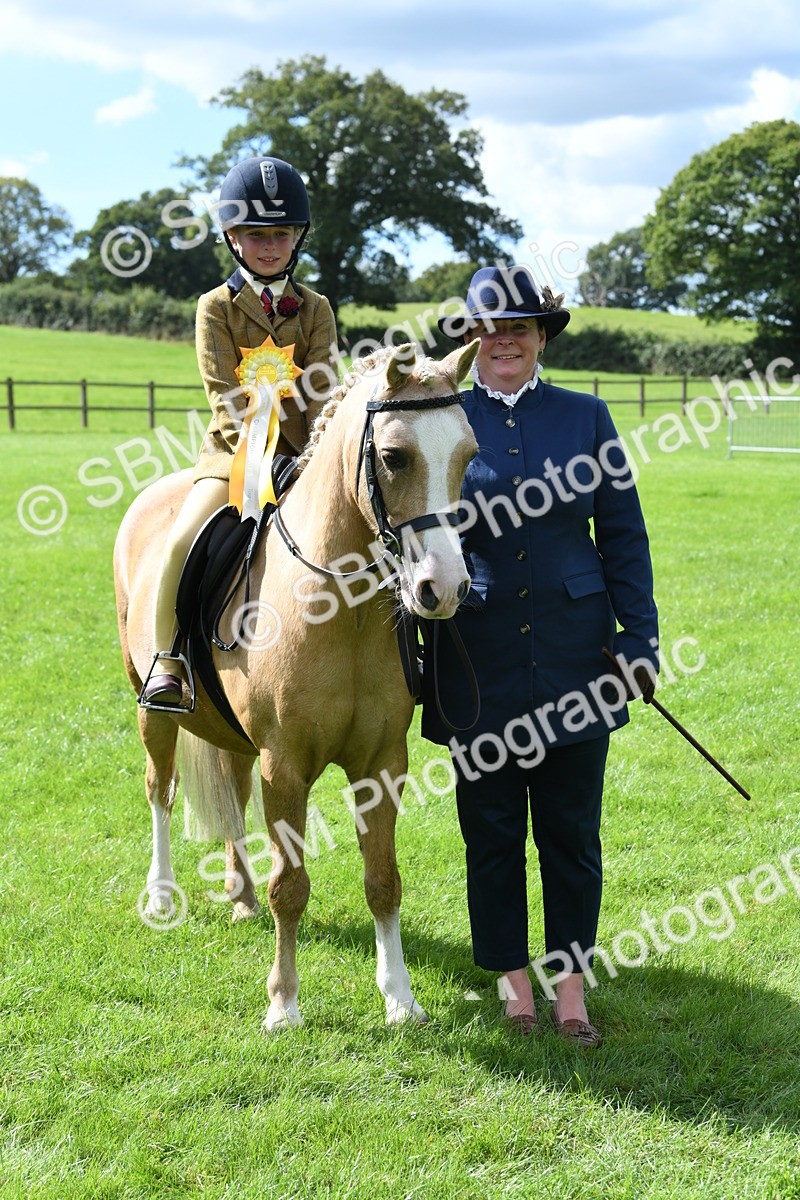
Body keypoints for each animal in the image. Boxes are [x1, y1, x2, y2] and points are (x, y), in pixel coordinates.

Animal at [114, 339, 480, 1030]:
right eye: (395, 457)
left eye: (469, 455)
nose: (444, 589)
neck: (342, 607)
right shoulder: (284, 765)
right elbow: (291, 886)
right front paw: (283, 1004)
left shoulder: (381, 763)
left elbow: (383, 880)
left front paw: (401, 999)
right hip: (153, 709)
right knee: (160, 790)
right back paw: (161, 896)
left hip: (233, 734)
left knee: (231, 791)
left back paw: (239, 895)